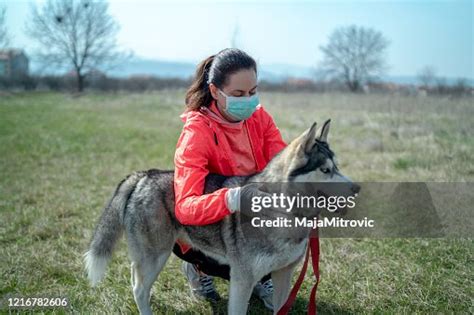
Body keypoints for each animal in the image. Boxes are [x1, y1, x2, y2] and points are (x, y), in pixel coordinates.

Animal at [85, 119, 360, 314]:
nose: (357, 187)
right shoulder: (242, 280)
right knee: (139, 288)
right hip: (155, 257)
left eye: (337, 167)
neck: (284, 211)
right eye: (325, 170)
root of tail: (144, 175)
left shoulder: (284, 273)